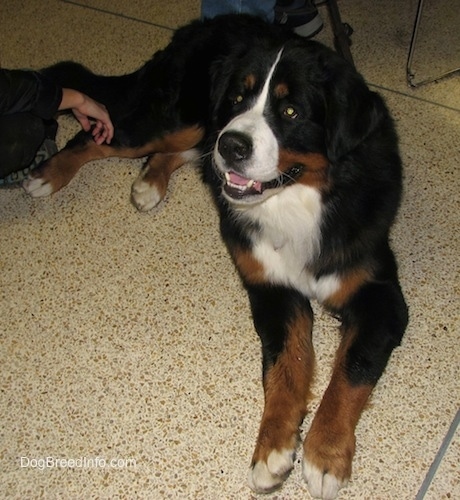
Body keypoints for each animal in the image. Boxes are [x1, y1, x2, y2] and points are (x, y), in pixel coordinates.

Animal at [23, 13, 408, 498]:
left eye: (291, 112)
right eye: (239, 98)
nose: (234, 145)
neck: (301, 200)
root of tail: (204, 23)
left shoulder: (378, 295)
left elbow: (350, 372)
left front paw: (324, 453)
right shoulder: (271, 289)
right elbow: (285, 367)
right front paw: (274, 449)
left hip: (195, 126)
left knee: (183, 150)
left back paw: (150, 181)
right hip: (179, 117)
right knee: (101, 133)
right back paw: (49, 174)